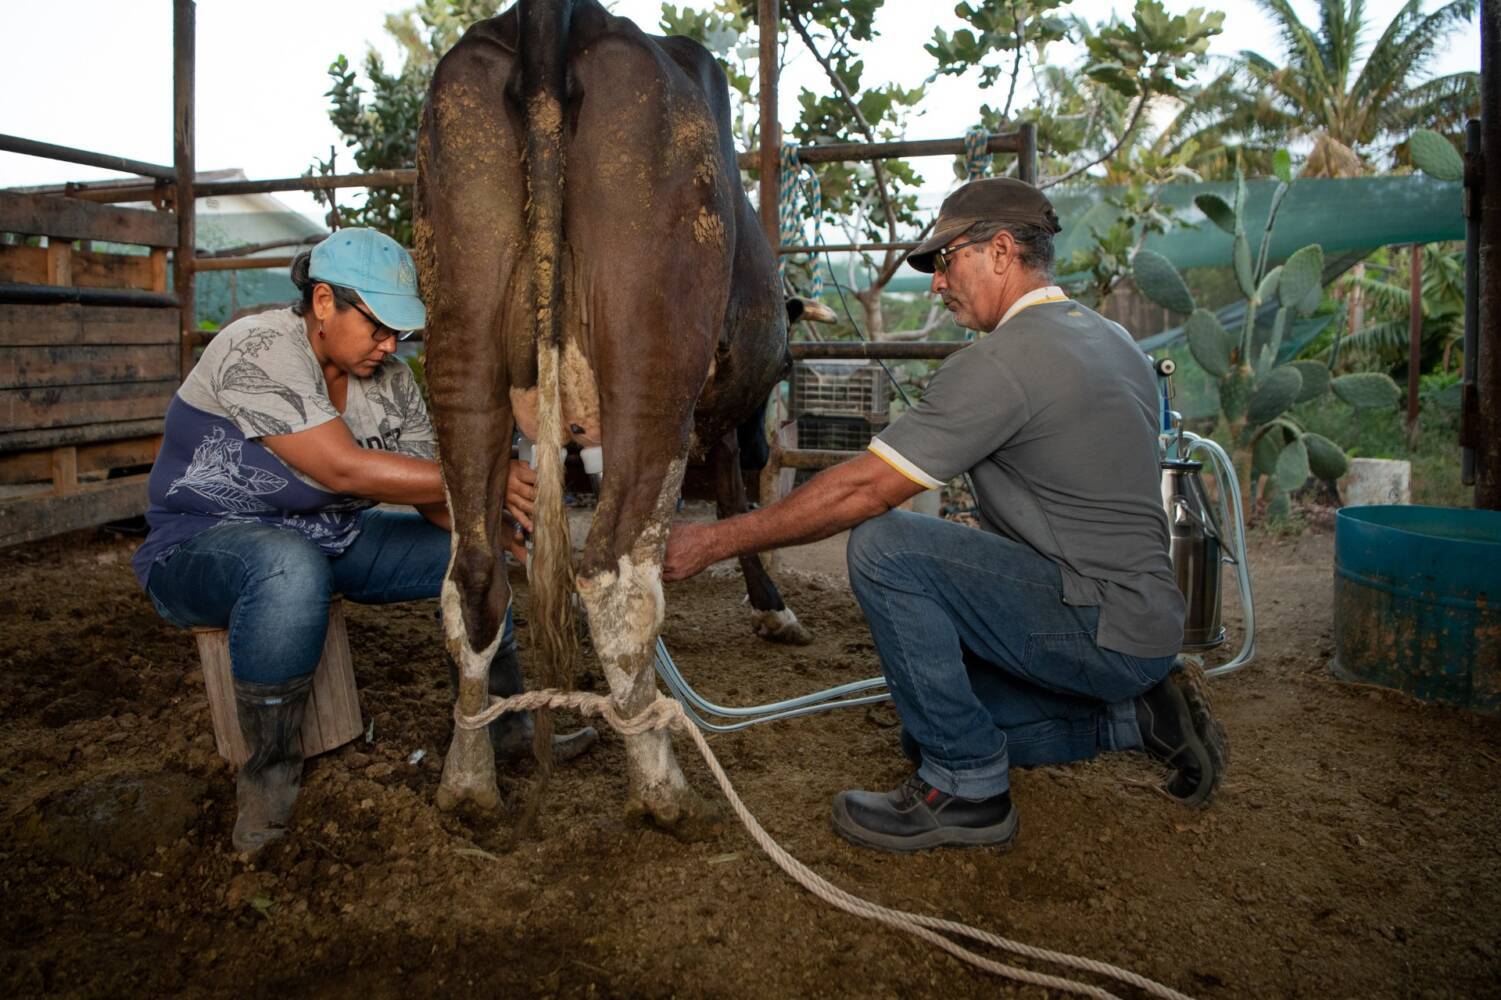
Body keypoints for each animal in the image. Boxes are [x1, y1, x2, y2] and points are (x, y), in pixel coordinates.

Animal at [417, 1, 798, 822]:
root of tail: (560, 15)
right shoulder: (723, 419)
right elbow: (736, 494)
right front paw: (772, 609)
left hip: (459, 339)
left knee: (474, 577)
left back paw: (468, 780)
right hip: (653, 360)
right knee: (615, 574)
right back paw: (660, 785)